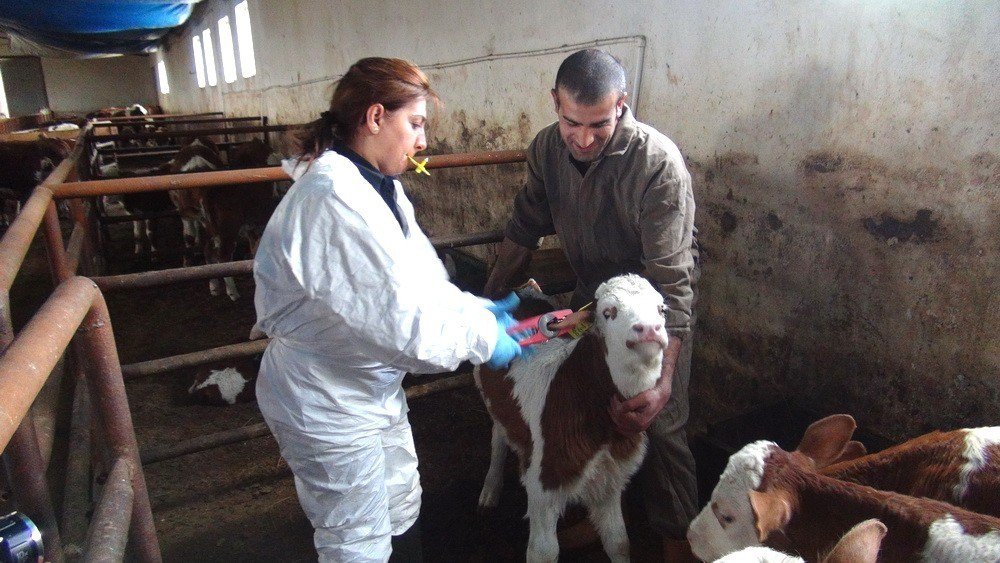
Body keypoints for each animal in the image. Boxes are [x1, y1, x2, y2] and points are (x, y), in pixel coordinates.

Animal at [474, 274, 668, 563]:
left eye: (661, 309)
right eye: (608, 312)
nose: (649, 329)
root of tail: (519, 290)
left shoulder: (612, 476)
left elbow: (619, 542)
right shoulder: (544, 480)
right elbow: (543, 552)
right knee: (498, 434)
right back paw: (490, 490)